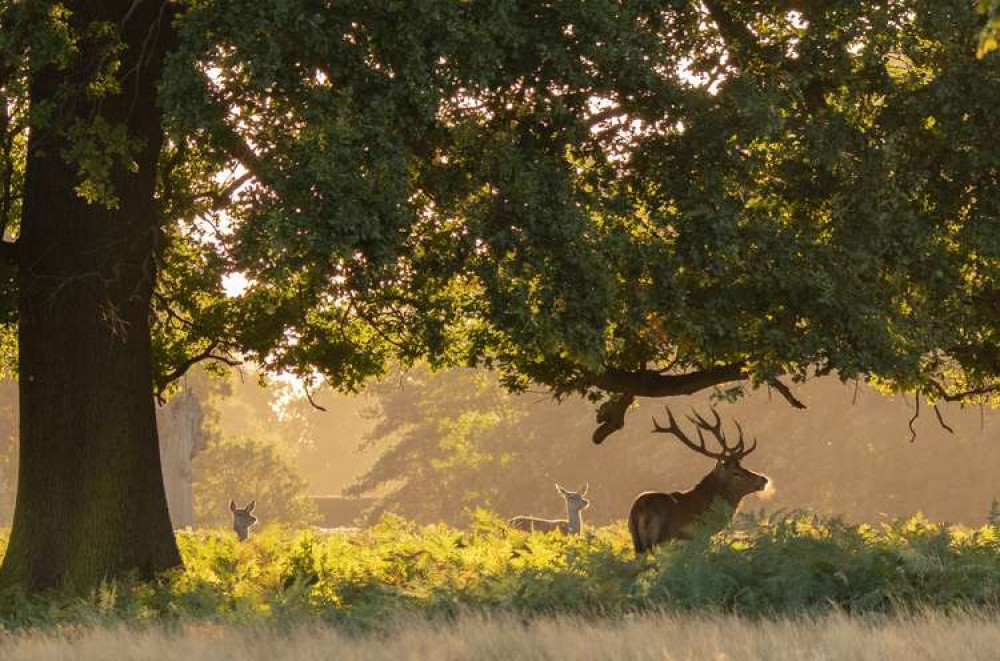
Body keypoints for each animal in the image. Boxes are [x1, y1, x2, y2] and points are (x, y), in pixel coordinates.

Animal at [628, 408, 768, 552]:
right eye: (736, 473)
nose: (764, 479)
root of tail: (640, 509)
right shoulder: (698, 536)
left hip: (636, 539)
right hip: (659, 538)